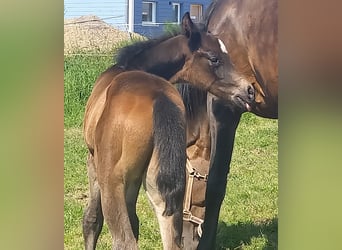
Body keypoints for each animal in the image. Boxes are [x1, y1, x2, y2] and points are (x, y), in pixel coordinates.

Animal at [82, 12, 254, 250]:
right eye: (214, 58)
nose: (249, 90)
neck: (133, 66)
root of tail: (159, 98)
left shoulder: (93, 159)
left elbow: (92, 219)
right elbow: (135, 222)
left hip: (112, 181)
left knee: (123, 239)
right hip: (163, 186)